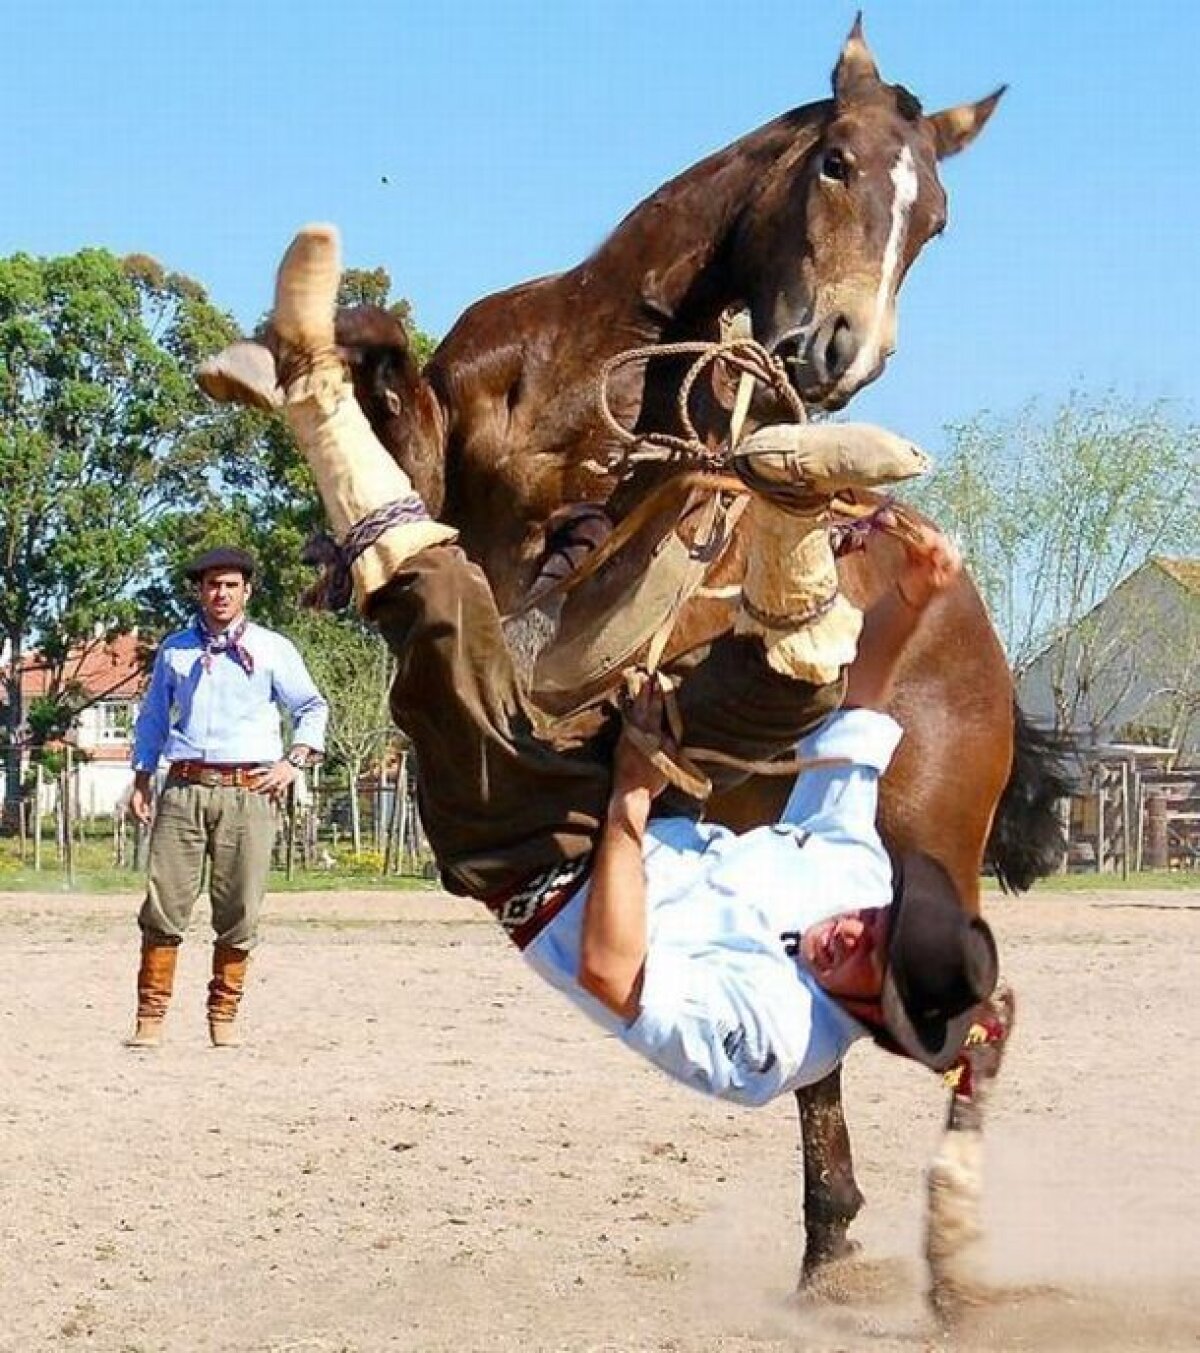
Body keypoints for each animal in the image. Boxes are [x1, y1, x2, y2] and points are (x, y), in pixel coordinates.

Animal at [204, 18, 1071, 1309]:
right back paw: (830, 1244)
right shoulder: (449, 452)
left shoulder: (595, 574)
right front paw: (288, 356)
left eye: (936, 220)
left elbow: (590, 557)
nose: (840, 356)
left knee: (963, 1011)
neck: (588, 373)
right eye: (837, 164)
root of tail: (981, 645)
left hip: (923, 840)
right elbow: (392, 368)